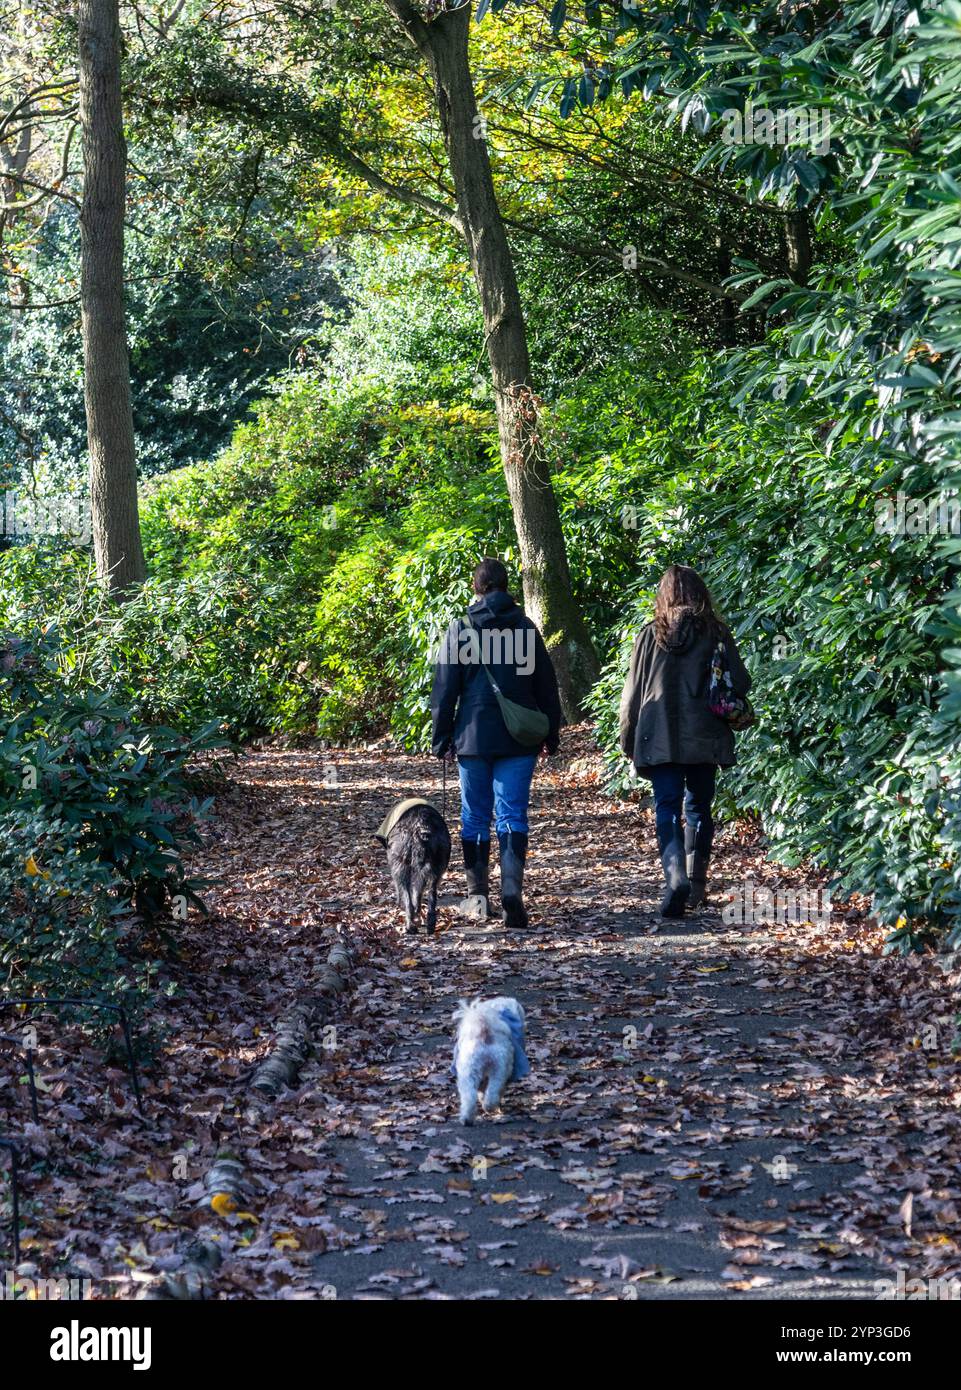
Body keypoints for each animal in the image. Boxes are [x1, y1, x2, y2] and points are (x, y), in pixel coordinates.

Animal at [375, 806, 450, 934]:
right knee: (432, 892)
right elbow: (417, 892)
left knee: (407, 897)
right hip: (437, 864)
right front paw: (418, 908)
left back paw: (409, 925)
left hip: (401, 864)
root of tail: (421, 827)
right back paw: (430, 923)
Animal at [453, 995, 531, 1123]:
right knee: (494, 1092)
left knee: (469, 1095)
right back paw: (490, 1107)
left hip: (469, 1071)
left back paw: (467, 1118)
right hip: (499, 1069)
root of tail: (484, 1033)